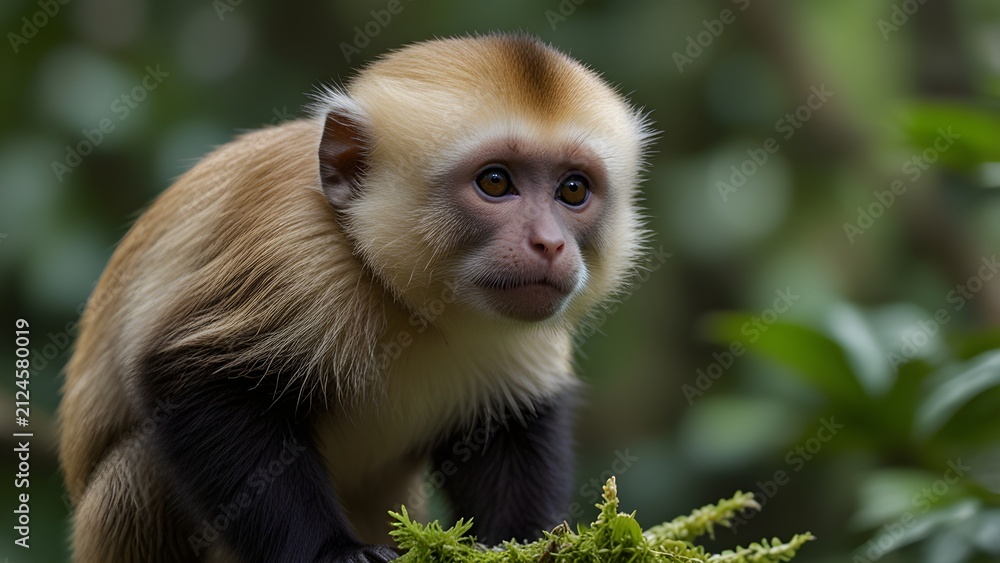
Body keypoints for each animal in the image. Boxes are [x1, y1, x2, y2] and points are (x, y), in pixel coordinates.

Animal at [58, 32, 652, 562]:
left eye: (572, 190)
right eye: (495, 182)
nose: (550, 243)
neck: (409, 307)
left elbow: (508, 423)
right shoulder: (300, 254)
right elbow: (196, 383)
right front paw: (332, 552)